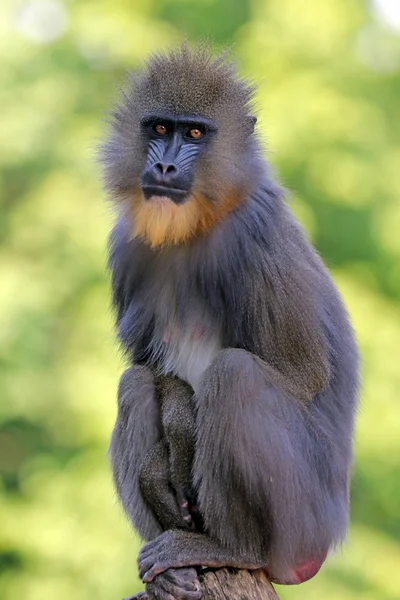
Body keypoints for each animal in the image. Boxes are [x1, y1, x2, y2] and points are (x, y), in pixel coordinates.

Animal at [101, 44, 360, 600]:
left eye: (195, 134)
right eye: (159, 127)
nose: (165, 165)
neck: (196, 226)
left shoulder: (254, 236)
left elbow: (302, 374)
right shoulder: (127, 248)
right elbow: (152, 371)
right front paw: (170, 436)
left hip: (301, 521)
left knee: (234, 376)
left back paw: (231, 550)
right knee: (134, 383)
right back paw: (173, 570)